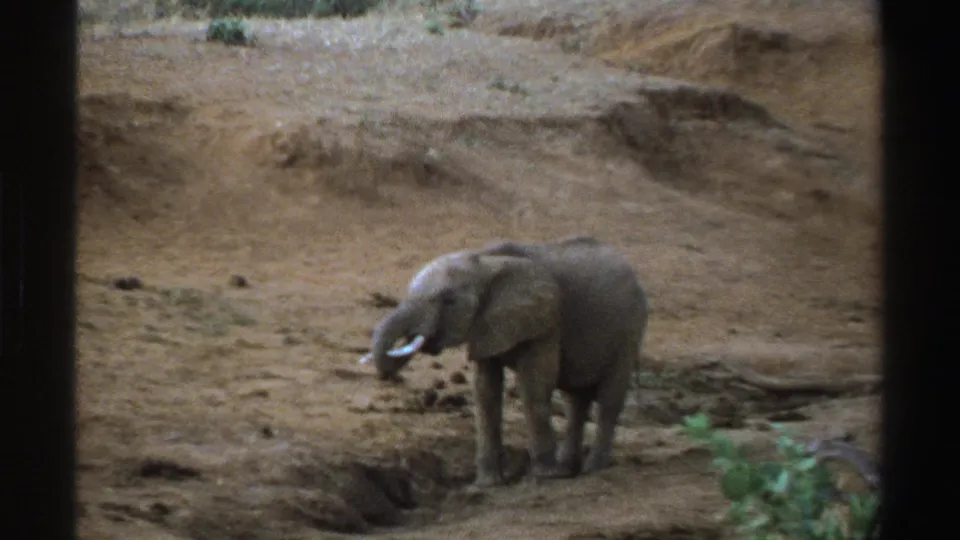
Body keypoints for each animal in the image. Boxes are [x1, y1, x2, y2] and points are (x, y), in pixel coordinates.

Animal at [359, 235, 649, 487]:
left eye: (449, 301)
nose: (390, 377)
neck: (484, 262)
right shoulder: (486, 324)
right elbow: (485, 392)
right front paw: (488, 483)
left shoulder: (545, 321)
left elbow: (533, 387)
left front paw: (545, 476)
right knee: (576, 400)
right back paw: (569, 469)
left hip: (630, 329)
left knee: (608, 399)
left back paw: (592, 468)